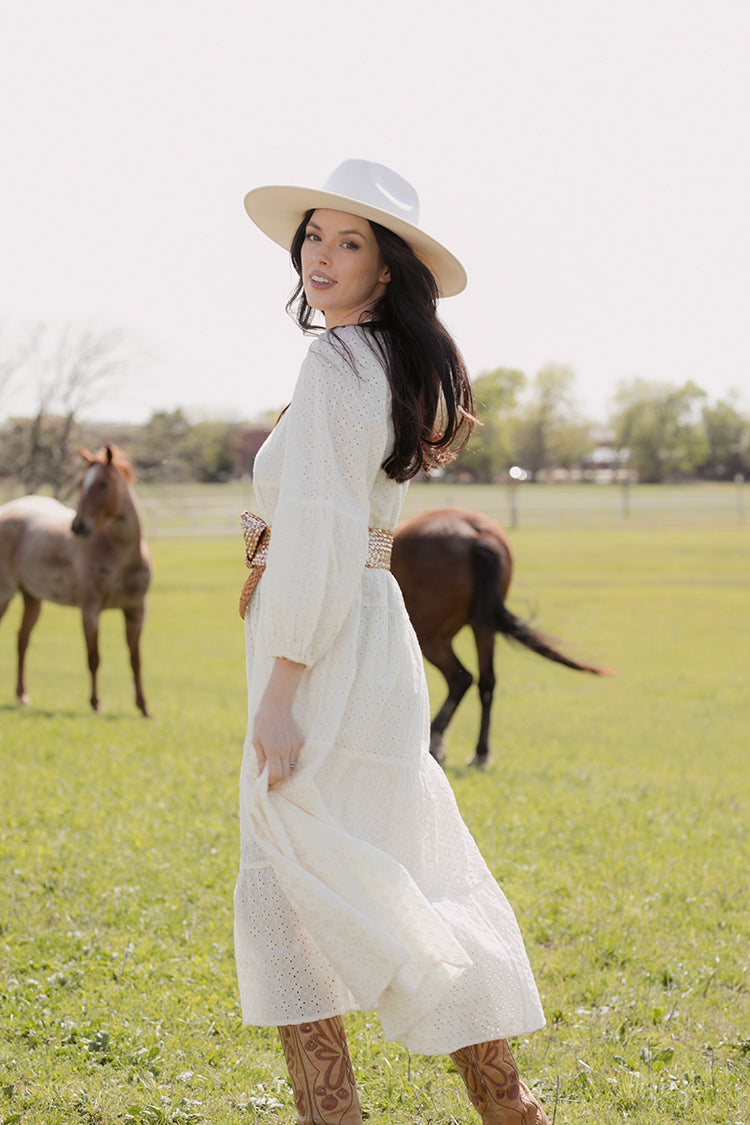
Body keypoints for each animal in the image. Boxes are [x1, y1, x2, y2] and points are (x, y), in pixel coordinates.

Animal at [0, 445, 152, 715]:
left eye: (103, 484)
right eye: (81, 483)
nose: (79, 527)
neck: (119, 553)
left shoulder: (136, 610)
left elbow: (135, 659)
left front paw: (144, 708)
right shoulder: (90, 609)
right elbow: (94, 657)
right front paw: (95, 703)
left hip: (32, 598)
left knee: (22, 640)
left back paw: (22, 696)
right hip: (4, 594)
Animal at [393, 508, 611, 765]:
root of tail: (475, 532)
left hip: (431, 636)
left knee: (461, 678)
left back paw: (437, 742)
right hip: (481, 625)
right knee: (482, 681)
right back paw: (478, 751)